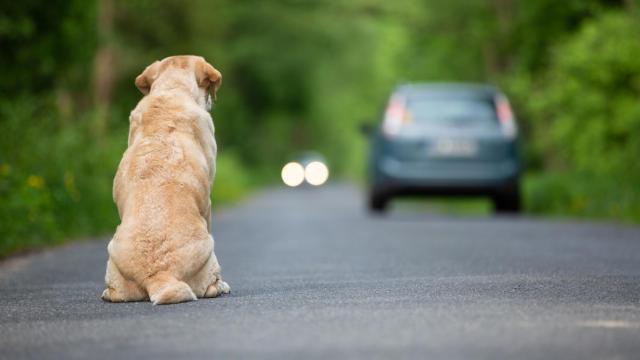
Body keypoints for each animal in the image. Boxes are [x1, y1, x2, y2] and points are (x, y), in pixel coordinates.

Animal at [101, 55, 229, 304]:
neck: (172, 90)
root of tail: (159, 274)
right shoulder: (208, 202)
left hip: (113, 255)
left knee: (114, 293)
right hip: (209, 249)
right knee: (210, 285)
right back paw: (221, 286)